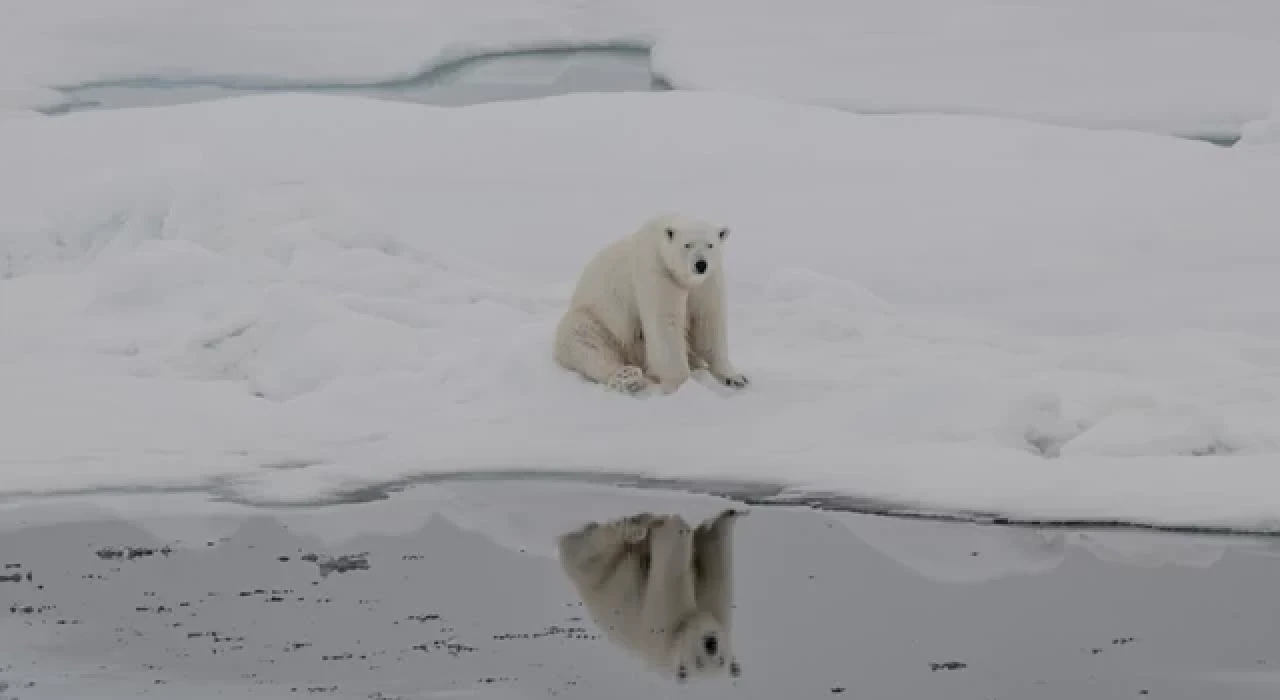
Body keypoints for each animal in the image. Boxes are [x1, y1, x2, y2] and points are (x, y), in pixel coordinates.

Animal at [552, 211, 747, 396]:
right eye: (687, 245)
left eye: (710, 245)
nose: (701, 264)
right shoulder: (656, 271)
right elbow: (665, 323)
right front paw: (680, 386)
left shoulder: (707, 281)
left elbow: (708, 321)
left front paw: (735, 377)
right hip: (598, 319)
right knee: (585, 342)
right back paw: (628, 378)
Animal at [555, 509, 747, 685]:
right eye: (699, 661)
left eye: (720, 659)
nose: (711, 643)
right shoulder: (706, 613)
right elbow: (711, 570)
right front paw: (731, 514)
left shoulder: (665, 630)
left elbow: (681, 572)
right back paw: (637, 525)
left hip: (599, 574)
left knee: (595, 547)